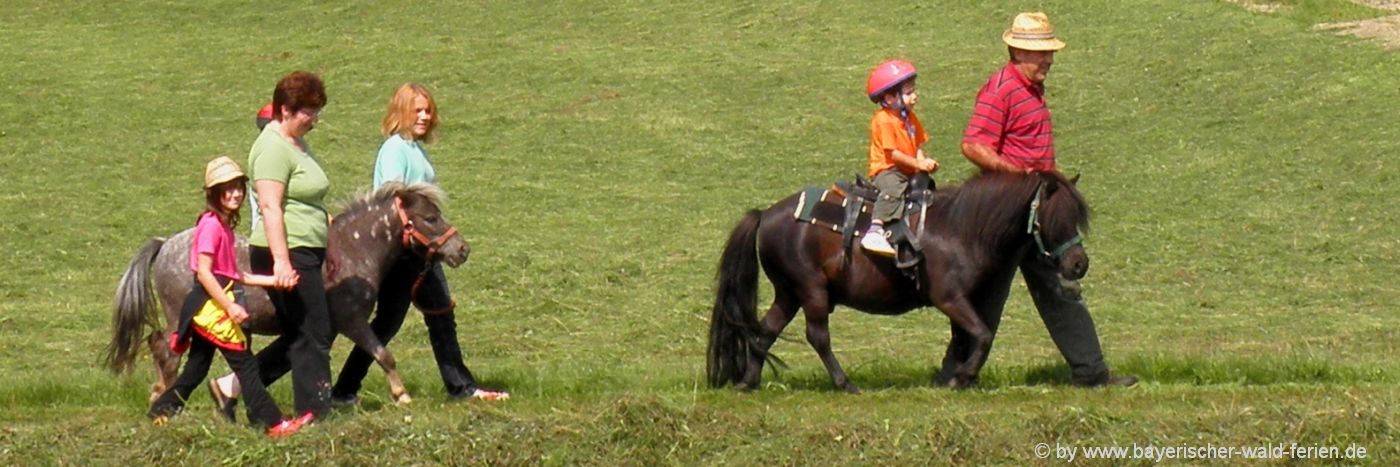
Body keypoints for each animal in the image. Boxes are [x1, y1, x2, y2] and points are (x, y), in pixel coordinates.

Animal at [105, 181, 464, 405]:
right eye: (430, 217)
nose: (462, 249)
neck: (350, 252)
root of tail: (165, 244)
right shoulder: (351, 320)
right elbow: (382, 353)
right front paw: (401, 395)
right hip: (182, 318)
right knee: (166, 351)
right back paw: (165, 396)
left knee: (155, 344)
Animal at [705, 170, 1086, 391]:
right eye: (1058, 217)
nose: (1079, 264)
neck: (961, 227)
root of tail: (765, 214)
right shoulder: (950, 298)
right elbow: (982, 334)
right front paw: (960, 378)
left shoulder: (961, 302)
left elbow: (967, 338)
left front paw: (954, 376)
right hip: (810, 289)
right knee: (817, 336)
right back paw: (844, 383)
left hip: (788, 293)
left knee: (765, 330)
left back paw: (748, 382)